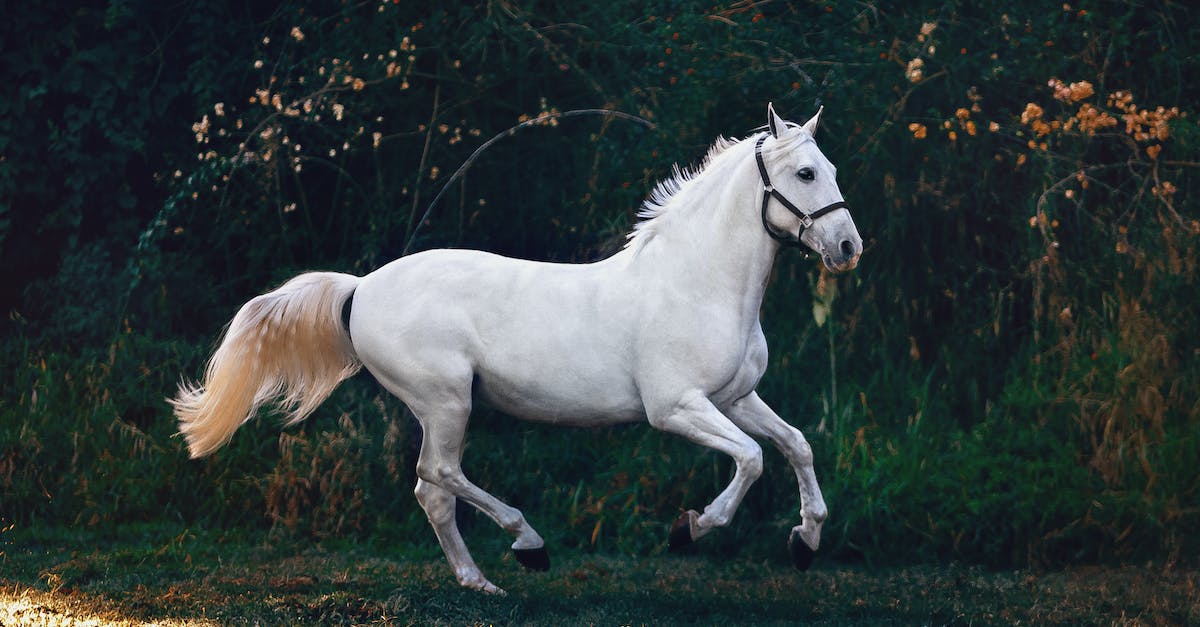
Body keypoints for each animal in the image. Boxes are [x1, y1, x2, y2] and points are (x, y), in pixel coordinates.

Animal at [171, 102, 864, 590]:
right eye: (805, 172)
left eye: (832, 170)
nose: (847, 247)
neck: (697, 283)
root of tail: (361, 287)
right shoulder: (677, 408)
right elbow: (751, 459)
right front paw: (689, 529)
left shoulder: (735, 397)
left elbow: (796, 445)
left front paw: (805, 542)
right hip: (446, 400)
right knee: (438, 476)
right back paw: (527, 546)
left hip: (444, 406)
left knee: (432, 491)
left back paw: (480, 582)